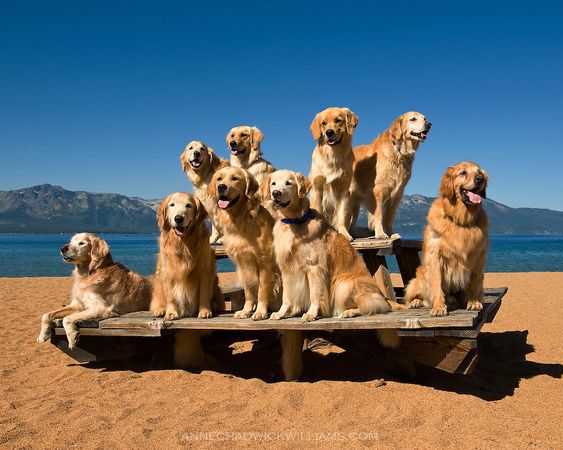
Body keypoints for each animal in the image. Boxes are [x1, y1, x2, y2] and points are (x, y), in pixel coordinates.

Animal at [208, 165, 280, 320]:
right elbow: (249, 291)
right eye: (219, 178)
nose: (221, 187)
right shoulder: (244, 263)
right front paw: (246, 310)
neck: (239, 219)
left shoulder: (264, 262)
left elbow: (262, 291)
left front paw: (260, 312)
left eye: (235, 178)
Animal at [306, 107, 360, 241]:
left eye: (338, 120)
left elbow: (341, 215)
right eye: (323, 123)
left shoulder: (343, 189)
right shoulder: (317, 187)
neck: (332, 155)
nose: (329, 132)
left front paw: (344, 233)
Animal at [348, 111, 432, 241]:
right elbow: (378, 214)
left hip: (354, 205)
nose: (429, 124)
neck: (398, 151)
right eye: (413, 119)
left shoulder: (397, 193)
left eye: (424, 118)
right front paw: (380, 233)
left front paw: (391, 233)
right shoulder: (378, 190)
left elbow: (388, 217)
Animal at [406, 162, 490, 316]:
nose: (480, 179)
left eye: (479, 172)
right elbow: (437, 286)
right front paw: (439, 307)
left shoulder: (478, 258)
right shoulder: (435, 257)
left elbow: (474, 282)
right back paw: (417, 302)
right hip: (418, 277)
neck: (460, 220)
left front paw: (474, 302)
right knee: (416, 296)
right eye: (463, 173)